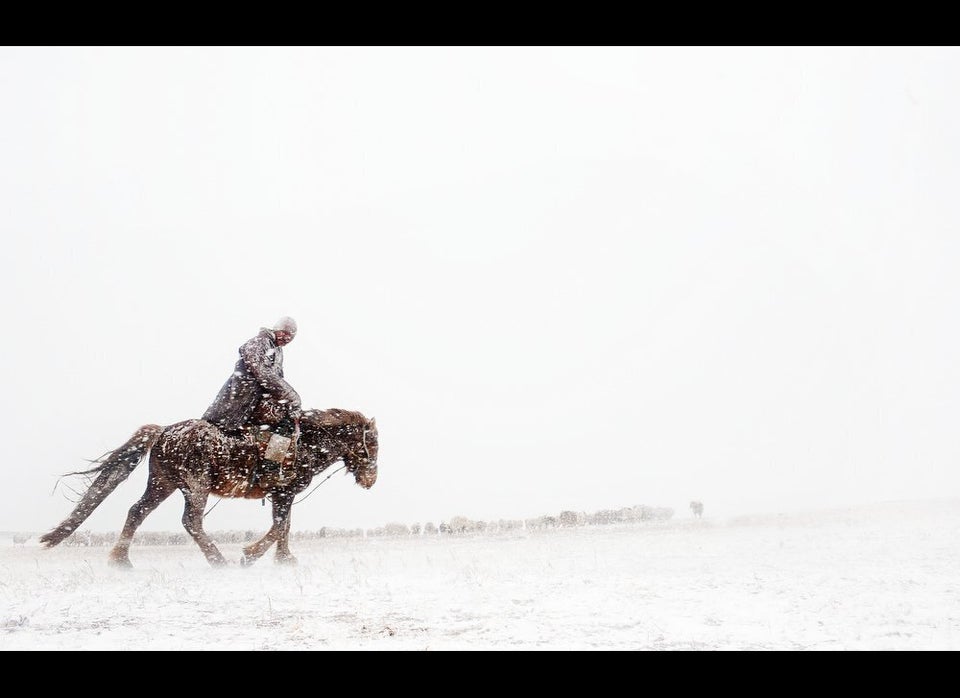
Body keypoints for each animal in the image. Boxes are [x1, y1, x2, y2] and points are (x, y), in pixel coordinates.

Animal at [40, 408, 378, 564]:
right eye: (371, 445)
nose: (371, 480)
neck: (306, 444)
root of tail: (164, 431)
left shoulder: (283, 495)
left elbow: (284, 525)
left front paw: (284, 559)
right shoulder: (284, 492)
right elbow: (280, 526)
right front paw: (251, 555)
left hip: (162, 484)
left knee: (137, 512)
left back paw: (120, 560)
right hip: (195, 486)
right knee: (191, 521)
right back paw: (218, 560)